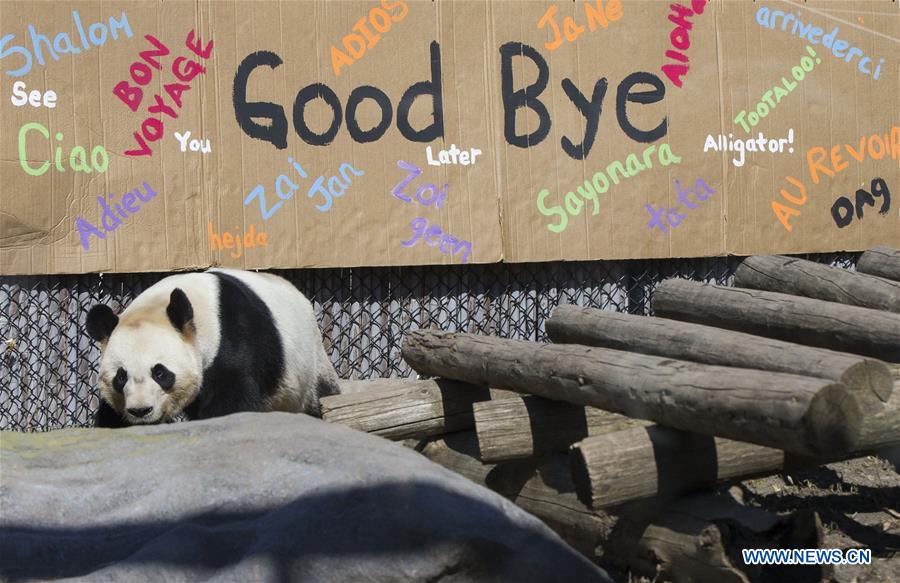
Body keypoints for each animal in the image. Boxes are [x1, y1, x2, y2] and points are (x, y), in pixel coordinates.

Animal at [86, 268, 340, 428]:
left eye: (160, 372)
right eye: (121, 376)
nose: (140, 411)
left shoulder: (234, 338)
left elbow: (231, 400)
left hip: (309, 372)